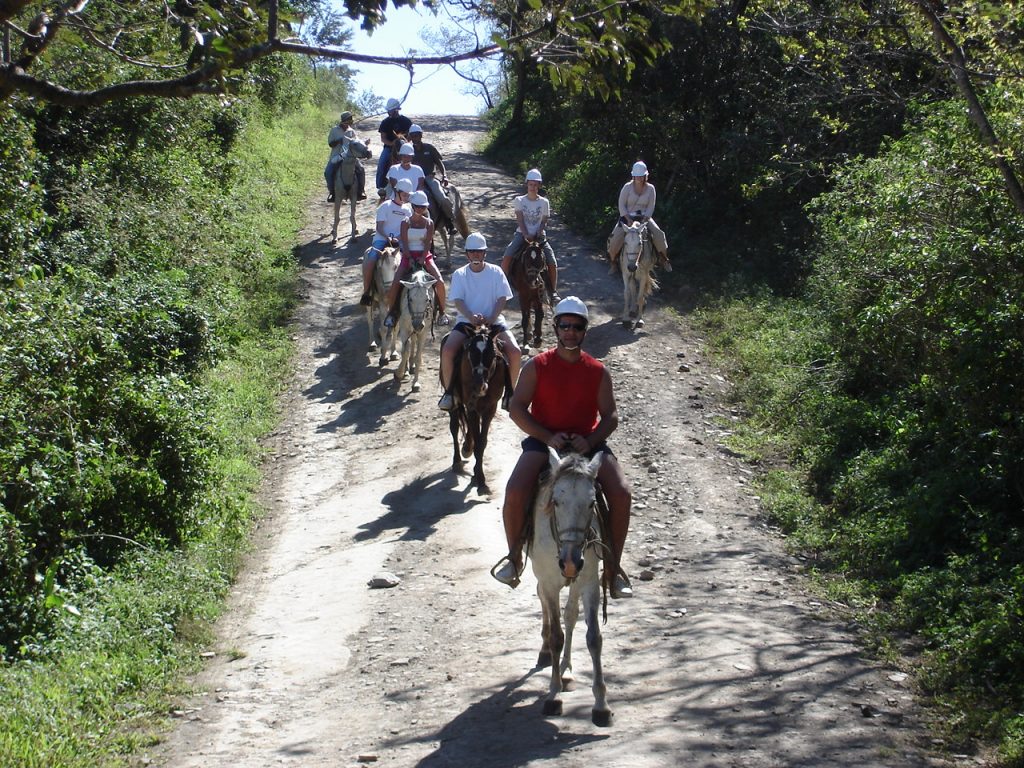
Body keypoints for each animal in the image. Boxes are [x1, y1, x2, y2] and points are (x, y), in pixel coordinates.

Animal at [442, 325, 505, 493]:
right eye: (471, 353)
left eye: (492, 354)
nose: (478, 385)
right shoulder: (473, 408)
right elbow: (477, 442)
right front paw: (480, 480)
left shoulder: (490, 409)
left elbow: (481, 443)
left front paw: (479, 477)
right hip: (455, 402)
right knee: (454, 427)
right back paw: (457, 461)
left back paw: (467, 448)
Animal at [528, 450, 606, 729]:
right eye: (556, 502)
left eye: (592, 503)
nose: (570, 562)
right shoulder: (550, 583)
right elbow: (555, 636)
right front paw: (553, 696)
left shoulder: (590, 581)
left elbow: (593, 638)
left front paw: (601, 705)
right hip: (543, 577)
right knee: (544, 603)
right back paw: (546, 654)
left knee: (570, 615)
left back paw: (568, 672)